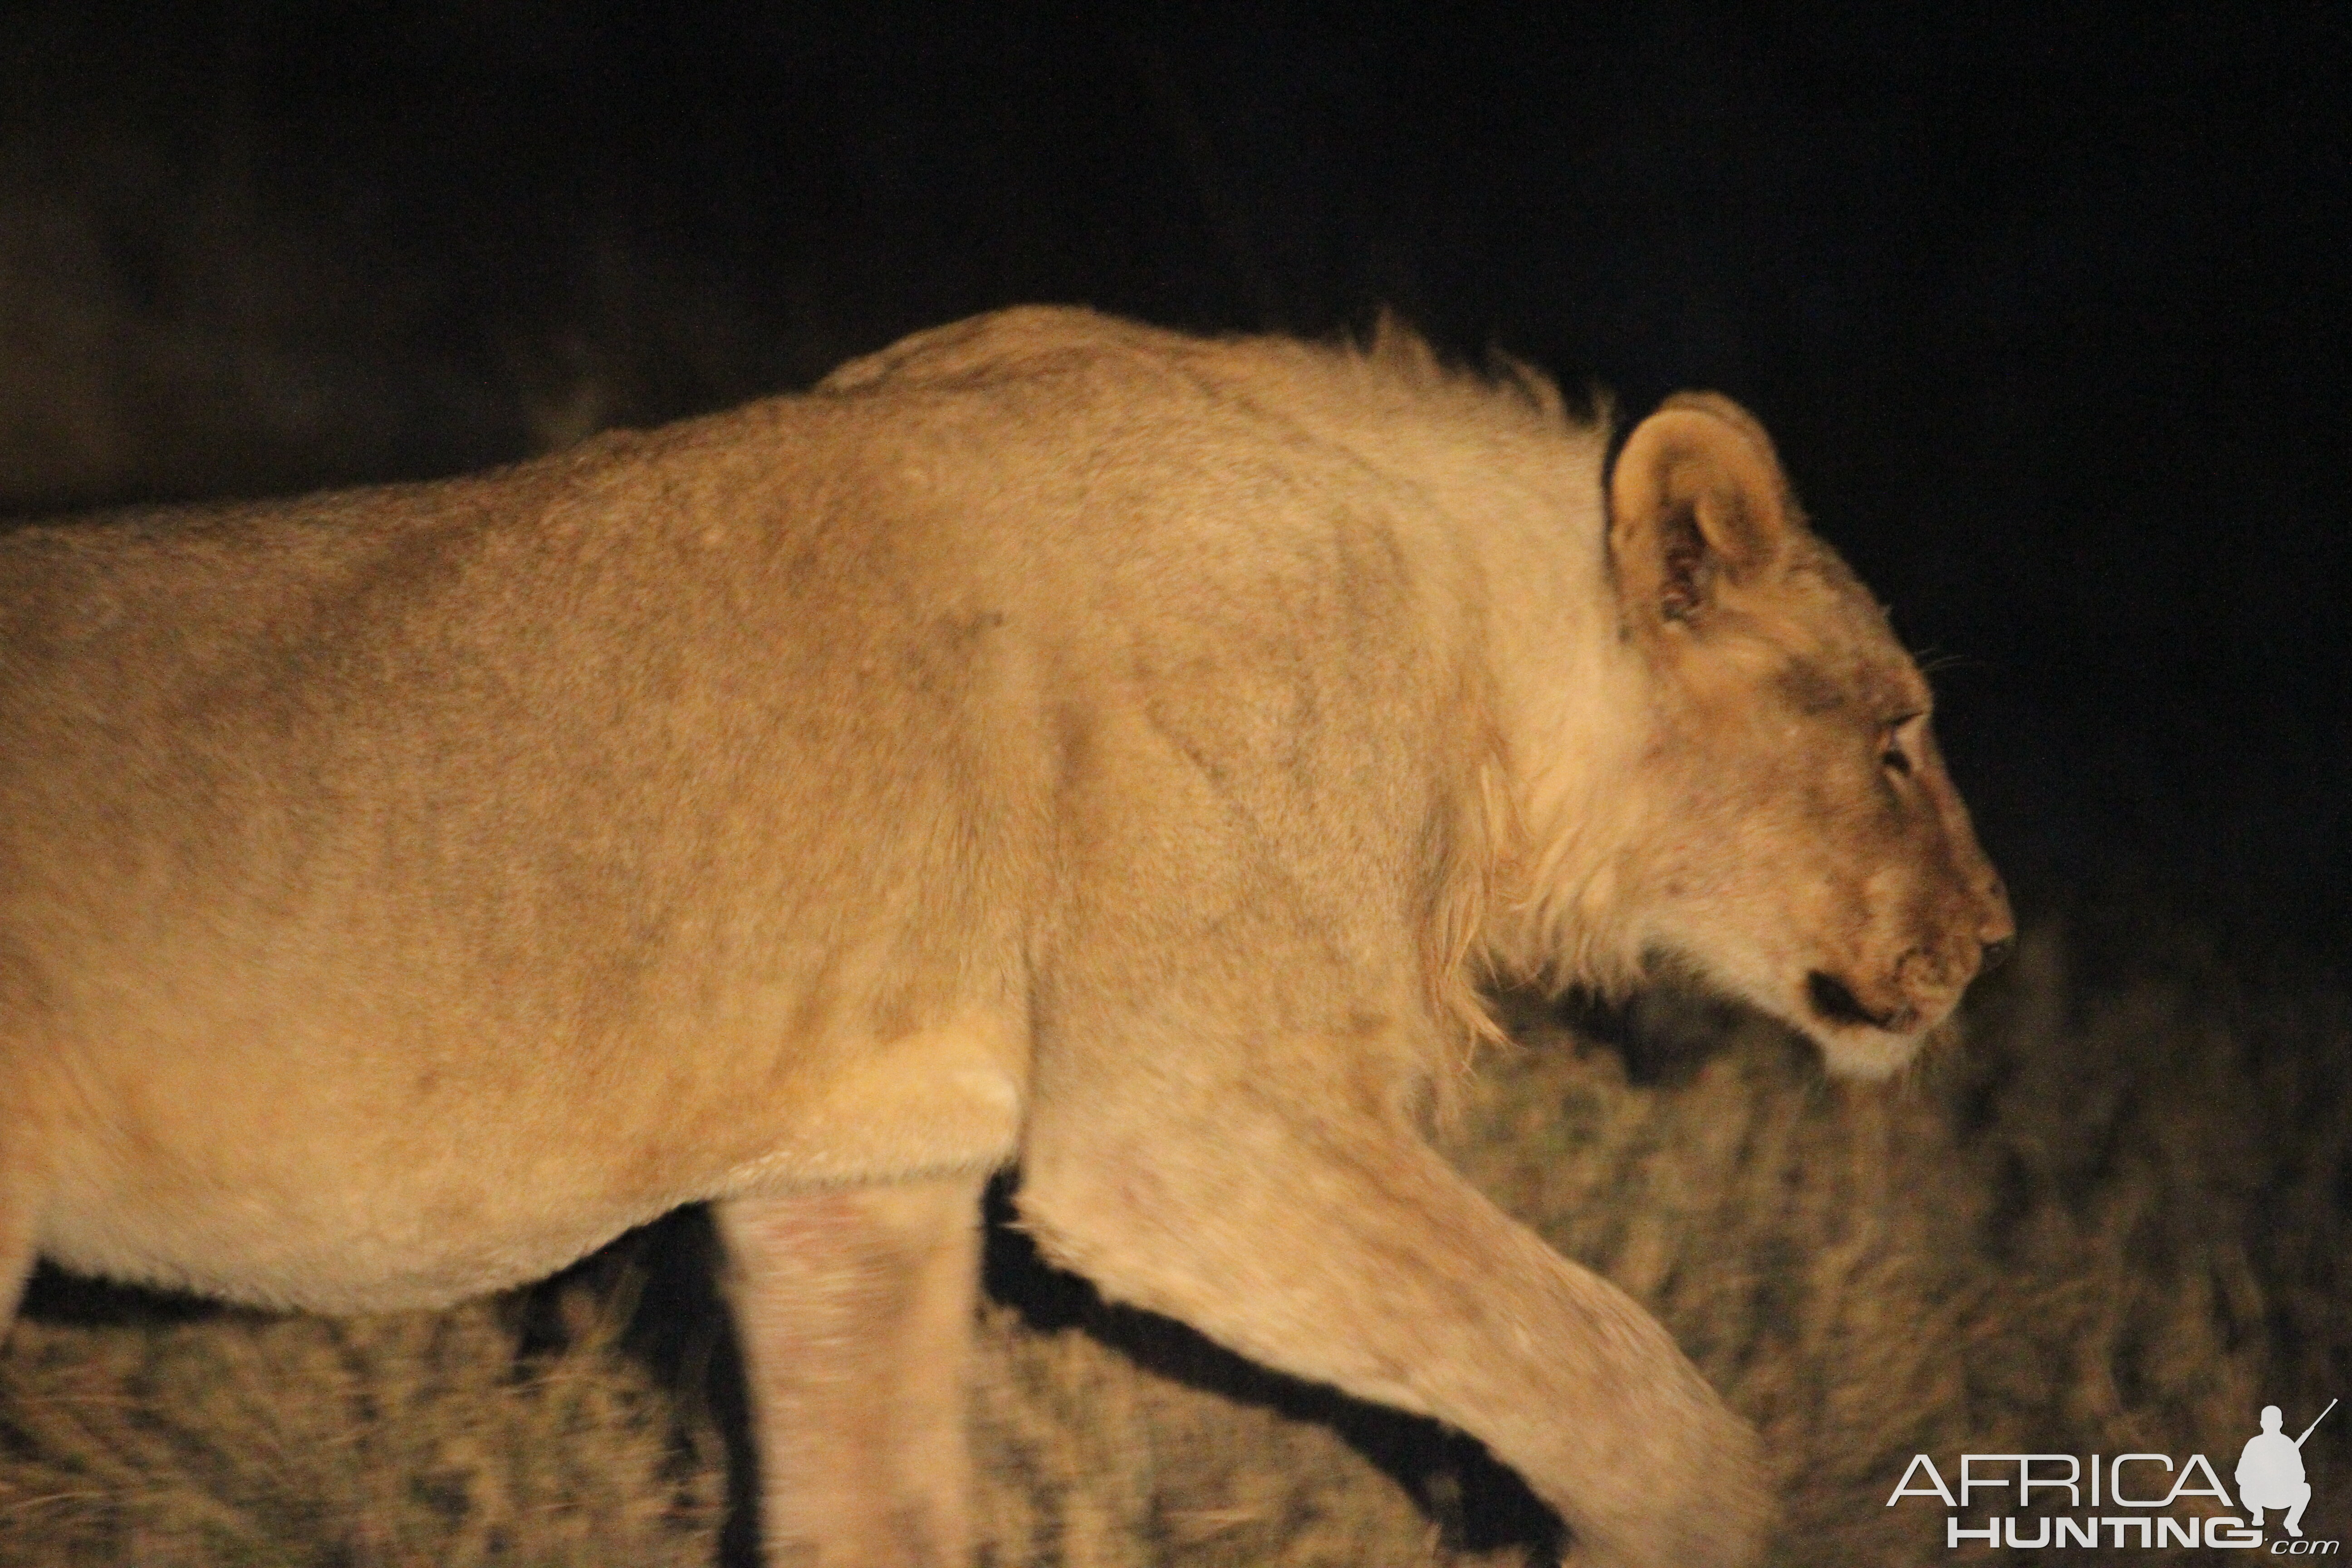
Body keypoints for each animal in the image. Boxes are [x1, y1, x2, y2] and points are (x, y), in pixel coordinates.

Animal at [0, 310, 2004, 1568]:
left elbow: (870, 1509)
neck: (1470, 653)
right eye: (1897, 739)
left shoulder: (847, 1183)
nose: (1988, 936)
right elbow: (1620, 1386)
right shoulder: (1192, 1137)